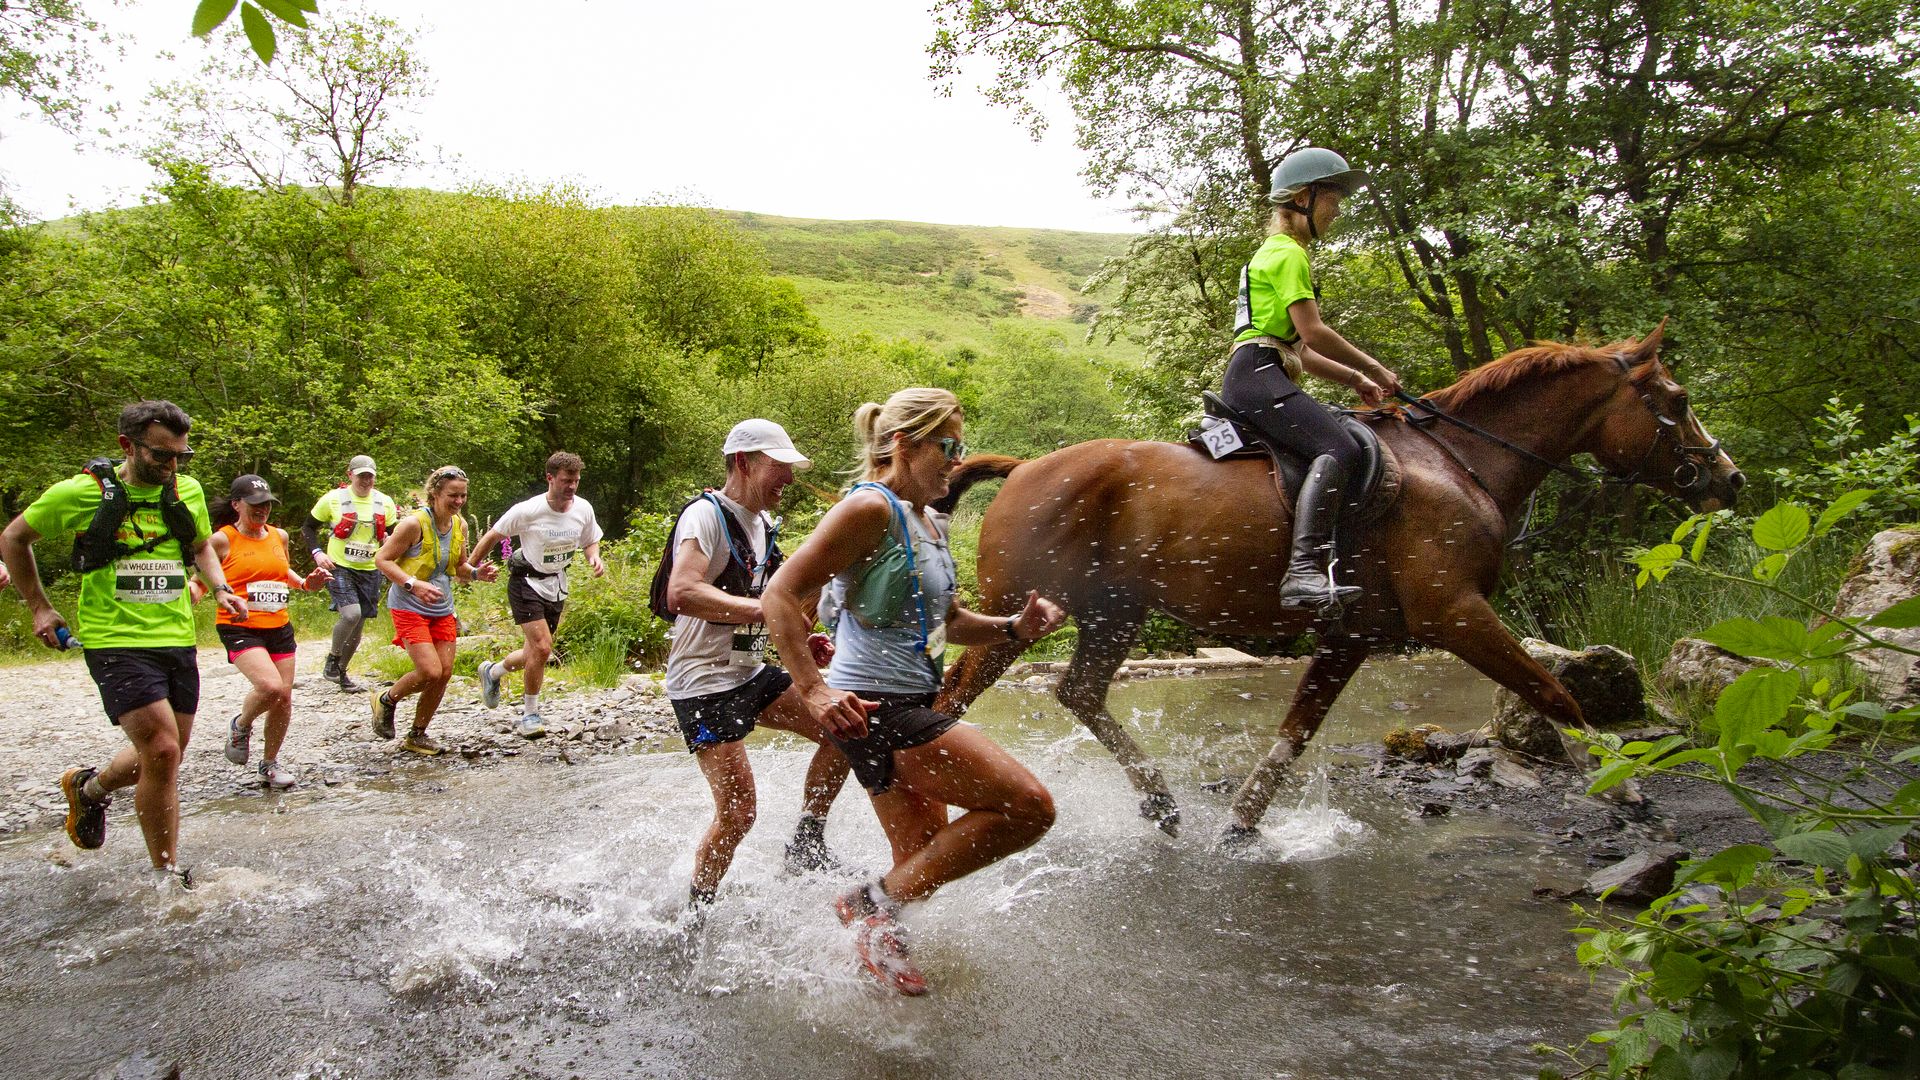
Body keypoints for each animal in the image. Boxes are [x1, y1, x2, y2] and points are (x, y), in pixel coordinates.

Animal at [931, 325, 1743, 839]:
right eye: (1676, 401)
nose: (1729, 479)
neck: (1461, 464)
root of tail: (1024, 469)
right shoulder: (1456, 613)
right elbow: (1555, 694)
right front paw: (1628, 789)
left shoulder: (1353, 634)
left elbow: (1295, 732)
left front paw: (1242, 825)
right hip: (1023, 615)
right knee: (950, 700)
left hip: (1113, 611)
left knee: (1079, 693)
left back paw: (1161, 803)